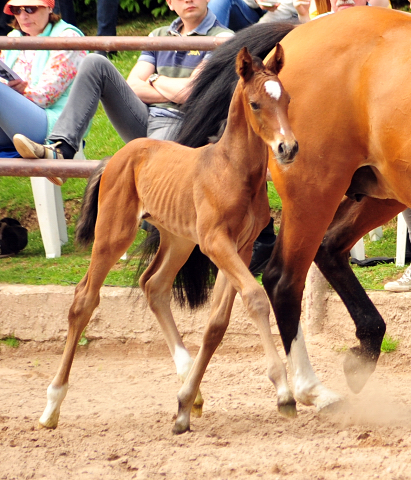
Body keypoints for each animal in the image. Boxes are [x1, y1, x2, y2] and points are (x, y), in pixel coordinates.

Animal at [36, 47, 300, 434]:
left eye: (288, 99)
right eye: (255, 104)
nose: (288, 147)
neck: (233, 169)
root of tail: (116, 157)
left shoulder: (240, 246)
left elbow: (216, 324)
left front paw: (184, 404)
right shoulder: (215, 242)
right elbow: (255, 298)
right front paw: (283, 392)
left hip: (178, 239)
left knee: (154, 285)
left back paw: (192, 385)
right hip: (114, 233)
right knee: (84, 299)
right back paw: (51, 405)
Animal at [176, 6, 408, 412]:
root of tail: (301, 29)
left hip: (383, 189)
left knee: (328, 248)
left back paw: (363, 349)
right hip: (315, 193)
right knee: (283, 279)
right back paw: (310, 387)